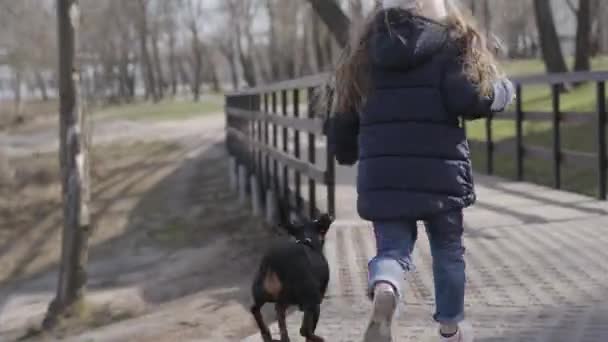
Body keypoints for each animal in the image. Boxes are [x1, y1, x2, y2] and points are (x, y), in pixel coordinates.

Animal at [252, 214, 338, 342]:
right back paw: (318, 338)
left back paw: (267, 334)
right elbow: (308, 328)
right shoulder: (314, 304)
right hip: (309, 298)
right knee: (303, 330)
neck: (307, 241)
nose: (328, 216)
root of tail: (273, 261)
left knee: (256, 310)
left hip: (264, 294)